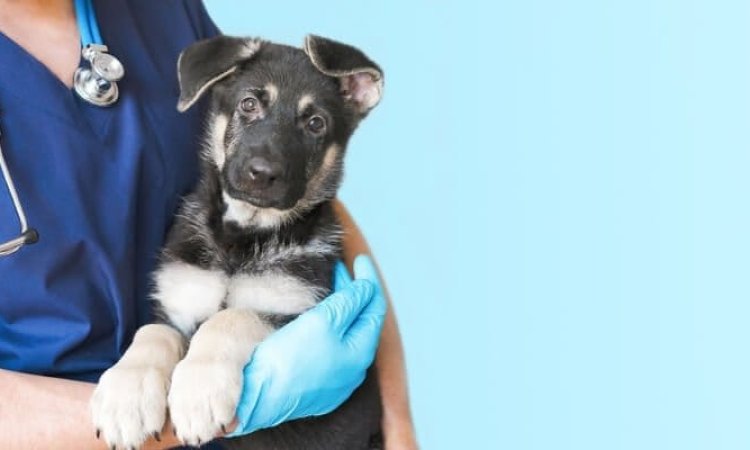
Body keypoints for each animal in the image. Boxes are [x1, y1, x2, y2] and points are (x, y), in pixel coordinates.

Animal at [93, 35, 384, 450]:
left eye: (316, 123)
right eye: (249, 104)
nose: (262, 174)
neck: (242, 237)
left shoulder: (292, 308)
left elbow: (232, 316)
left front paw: (199, 390)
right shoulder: (178, 305)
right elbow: (151, 333)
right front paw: (126, 395)